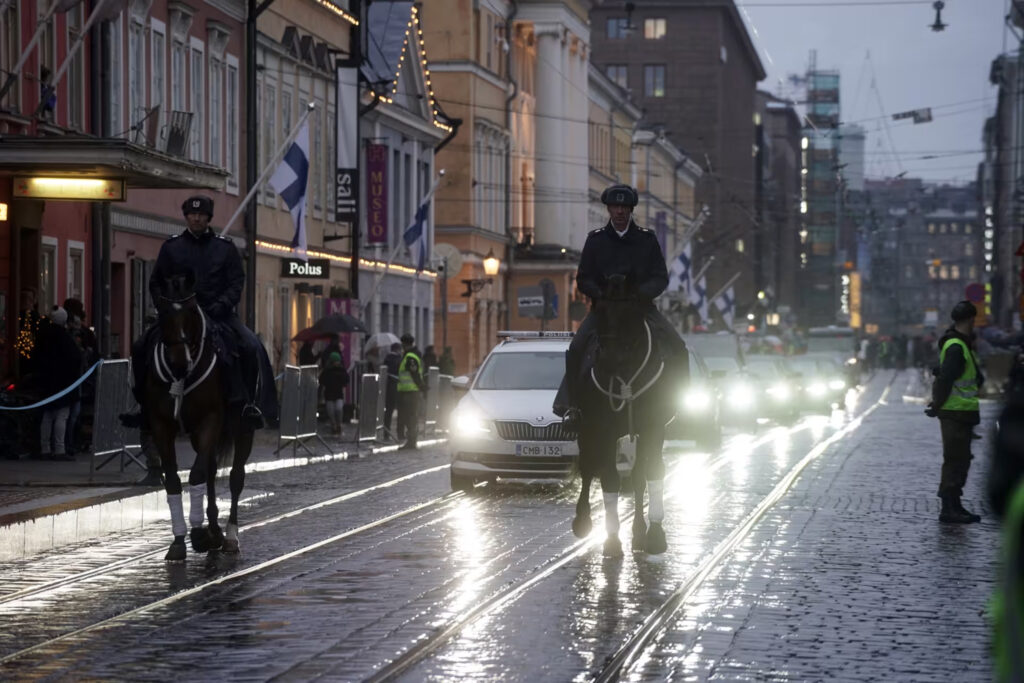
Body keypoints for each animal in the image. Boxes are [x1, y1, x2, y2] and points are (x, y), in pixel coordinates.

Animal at [145, 272, 254, 561]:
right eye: (163, 312)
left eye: (193, 311)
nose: (179, 362)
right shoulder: (161, 425)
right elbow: (174, 481)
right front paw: (179, 541)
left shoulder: (210, 420)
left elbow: (195, 475)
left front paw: (198, 535)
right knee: (211, 471)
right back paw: (214, 529)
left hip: (243, 428)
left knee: (236, 477)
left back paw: (229, 536)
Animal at [573, 274, 684, 557]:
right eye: (600, 310)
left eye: (630, 312)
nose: (608, 359)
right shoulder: (603, 428)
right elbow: (609, 477)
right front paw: (612, 540)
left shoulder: (653, 427)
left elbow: (652, 471)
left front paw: (654, 535)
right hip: (586, 428)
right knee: (587, 468)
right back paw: (582, 521)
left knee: (637, 477)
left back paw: (639, 531)